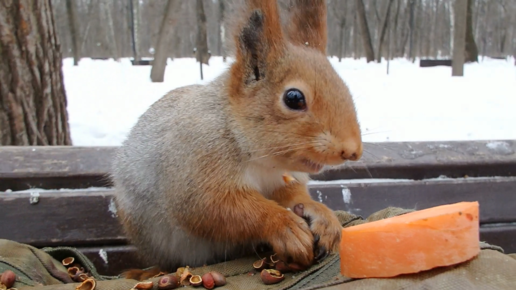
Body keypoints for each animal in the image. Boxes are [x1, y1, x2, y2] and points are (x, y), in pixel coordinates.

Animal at [113, 0, 362, 278]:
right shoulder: (198, 162)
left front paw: (322, 217)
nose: (352, 151)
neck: (263, 161)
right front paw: (284, 226)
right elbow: (221, 209)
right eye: (294, 98)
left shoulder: (284, 179)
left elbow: (293, 194)